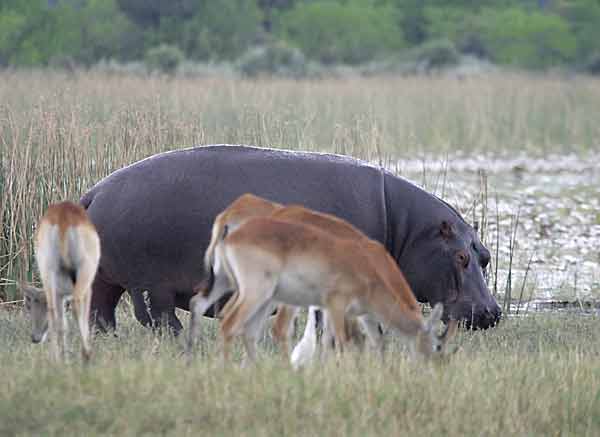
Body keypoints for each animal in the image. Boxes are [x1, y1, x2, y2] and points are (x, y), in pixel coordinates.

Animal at [24, 202, 99, 362]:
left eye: (30, 305)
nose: (35, 338)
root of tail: (63, 217)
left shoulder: (60, 295)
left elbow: (62, 323)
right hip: (85, 271)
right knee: (77, 305)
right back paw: (86, 355)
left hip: (48, 271)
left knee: (55, 314)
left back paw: (57, 359)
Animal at [79, 143, 502, 330]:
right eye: (461, 257)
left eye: (485, 256)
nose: (493, 312)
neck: (408, 231)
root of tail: (94, 191)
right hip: (150, 282)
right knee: (154, 315)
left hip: (105, 276)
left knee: (101, 309)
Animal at [213, 216, 458, 362]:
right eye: (438, 346)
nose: (437, 368)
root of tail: (230, 235)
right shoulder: (339, 306)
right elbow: (346, 341)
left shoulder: (353, 312)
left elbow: (368, 341)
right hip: (262, 295)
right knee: (239, 325)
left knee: (245, 328)